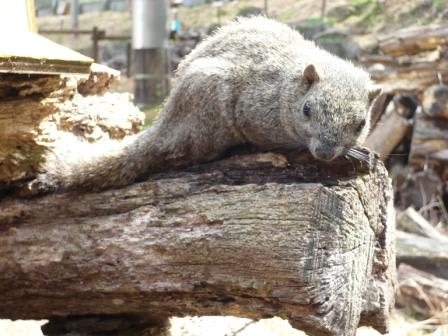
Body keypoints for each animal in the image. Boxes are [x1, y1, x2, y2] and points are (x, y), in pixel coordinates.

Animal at [19, 17, 380, 196]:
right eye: (307, 110)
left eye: (361, 124)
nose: (325, 152)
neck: (284, 90)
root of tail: (165, 124)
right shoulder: (255, 110)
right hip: (208, 104)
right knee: (194, 153)